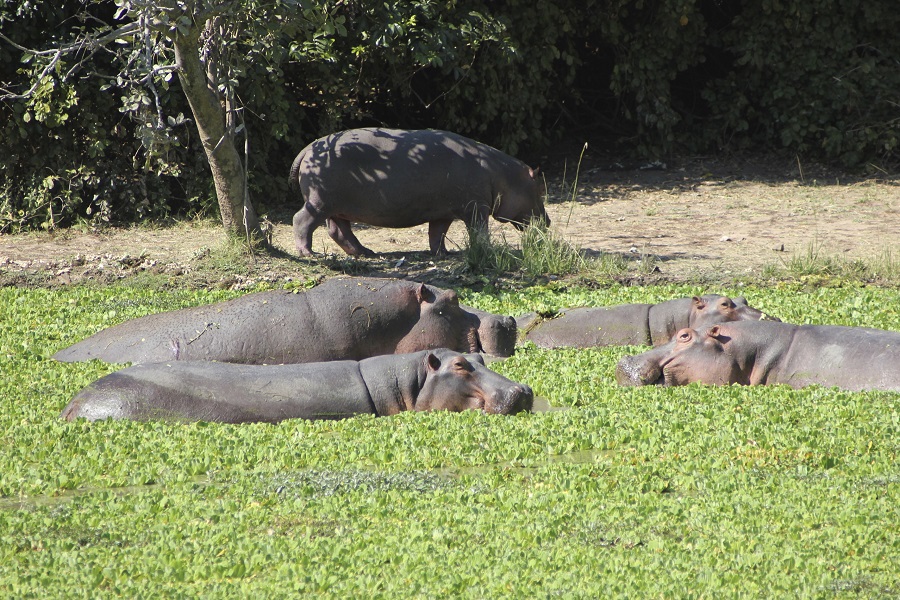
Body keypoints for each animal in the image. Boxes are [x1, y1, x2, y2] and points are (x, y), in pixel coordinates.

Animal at [288, 129, 548, 255]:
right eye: (539, 190)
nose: (548, 221)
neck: (504, 176)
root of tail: (307, 149)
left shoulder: (443, 212)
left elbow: (437, 234)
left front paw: (443, 254)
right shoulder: (476, 208)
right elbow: (478, 231)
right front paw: (486, 249)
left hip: (337, 207)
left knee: (339, 231)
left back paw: (365, 252)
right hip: (320, 202)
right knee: (302, 221)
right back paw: (308, 253)